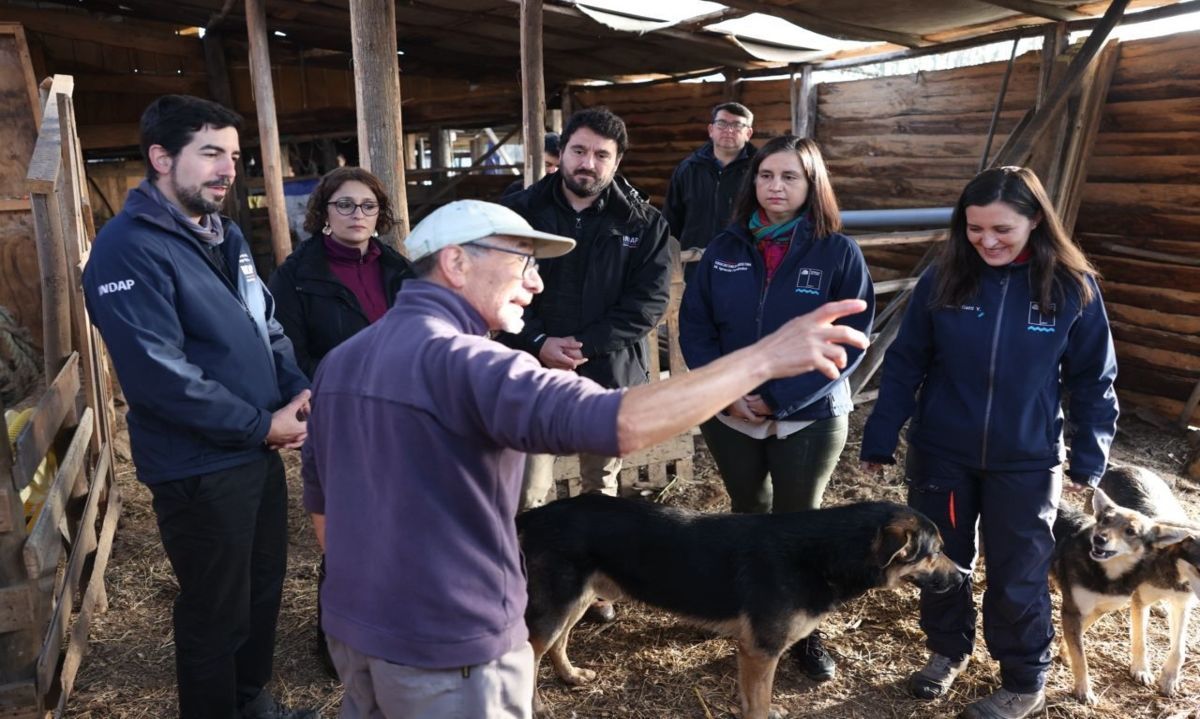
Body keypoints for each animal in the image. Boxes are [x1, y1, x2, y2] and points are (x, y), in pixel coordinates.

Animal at [518, 494, 964, 719]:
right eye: (933, 553)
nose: (963, 577)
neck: (823, 553)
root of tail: (535, 514)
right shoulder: (760, 651)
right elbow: (759, 704)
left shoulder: (754, 653)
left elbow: (757, 699)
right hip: (556, 605)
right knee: (531, 653)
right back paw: (534, 705)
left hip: (575, 600)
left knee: (559, 644)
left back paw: (571, 676)